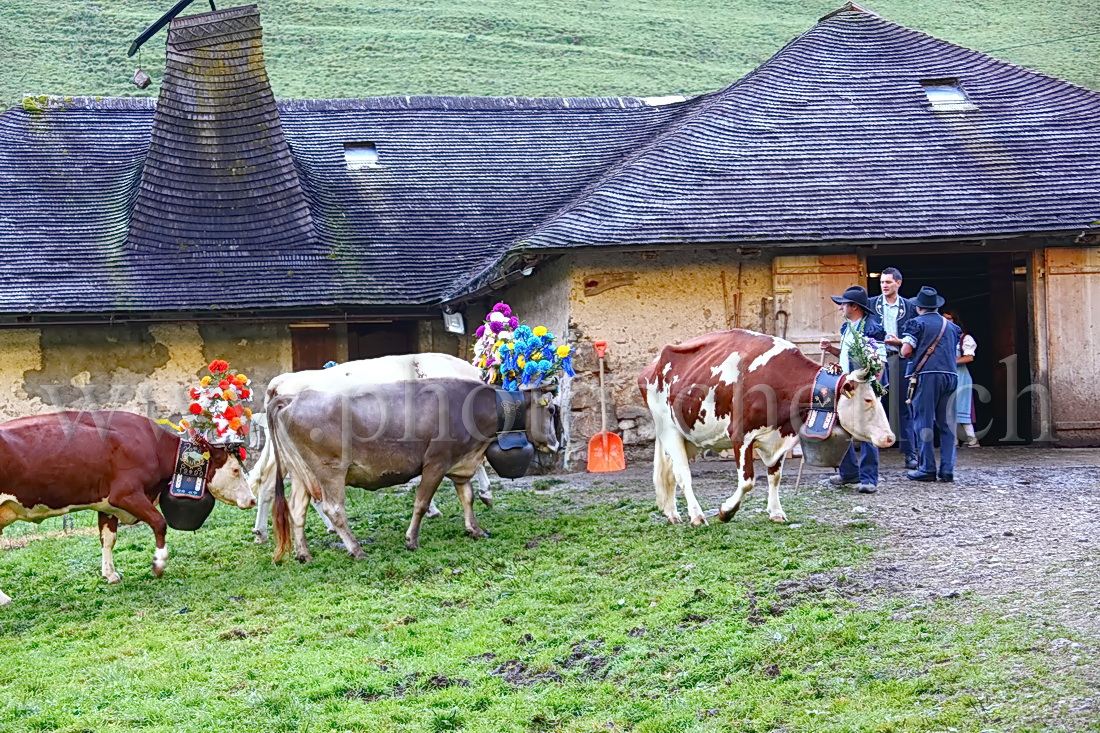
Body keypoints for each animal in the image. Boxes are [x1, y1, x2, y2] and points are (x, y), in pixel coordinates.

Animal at [1, 407, 253, 603]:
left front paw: (110, 574)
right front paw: (159, 564)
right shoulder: (126, 494)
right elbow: (159, 523)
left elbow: (108, 538)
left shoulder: (106, 504)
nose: (251, 499)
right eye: (235, 470)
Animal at [267, 376, 558, 559]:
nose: (556, 444)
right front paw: (411, 540)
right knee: (334, 509)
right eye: (552, 410)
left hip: (301, 473)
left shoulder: (460, 461)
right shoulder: (436, 461)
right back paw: (357, 550)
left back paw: (304, 554)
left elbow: (468, 497)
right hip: (330, 470)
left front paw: (475, 530)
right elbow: (421, 501)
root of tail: (292, 398)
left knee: (297, 509)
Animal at [638, 327, 893, 521]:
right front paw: (726, 511)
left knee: (670, 473)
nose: (890, 437)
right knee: (683, 474)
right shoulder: (740, 435)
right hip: (669, 430)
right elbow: (747, 481)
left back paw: (673, 514)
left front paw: (776, 512)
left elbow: (775, 476)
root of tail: (650, 367)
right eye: (868, 399)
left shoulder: (780, 436)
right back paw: (697, 516)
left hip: (686, 436)